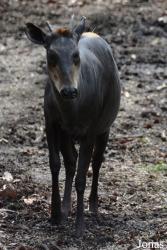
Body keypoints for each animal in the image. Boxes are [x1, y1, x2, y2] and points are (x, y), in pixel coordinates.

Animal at [25, 17, 120, 236]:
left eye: (76, 55)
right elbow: (55, 163)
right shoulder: (50, 122)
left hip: (105, 125)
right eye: (51, 55)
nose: (69, 91)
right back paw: (66, 208)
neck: (72, 112)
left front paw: (79, 227)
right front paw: (55, 215)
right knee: (71, 161)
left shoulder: (90, 129)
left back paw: (93, 207)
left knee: (97, 161)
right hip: (66, 133)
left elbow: (82, 177)